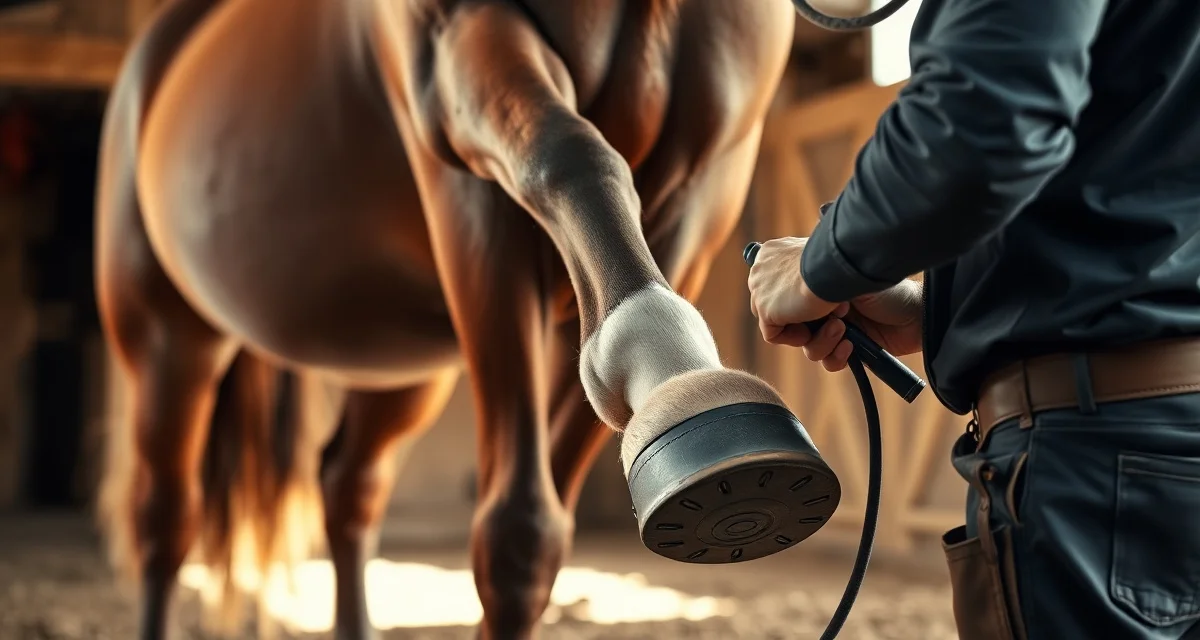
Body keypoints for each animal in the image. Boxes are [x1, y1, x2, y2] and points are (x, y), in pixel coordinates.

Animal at [94, 1, 836, 638]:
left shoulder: (703, 191)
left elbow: (544, 532)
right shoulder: (460, 125)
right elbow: (570, 151)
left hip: (401, 369)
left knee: (346, 486)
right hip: (169, 340)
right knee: (164, 519)